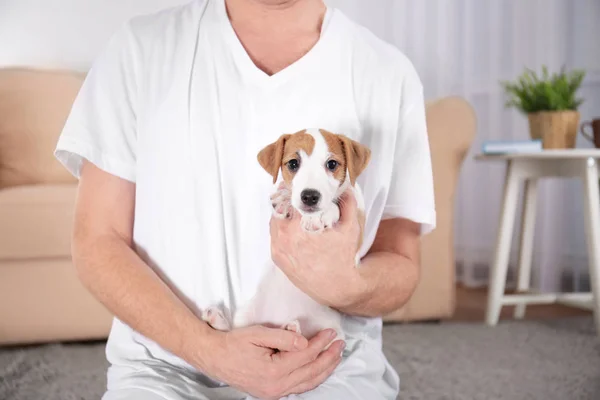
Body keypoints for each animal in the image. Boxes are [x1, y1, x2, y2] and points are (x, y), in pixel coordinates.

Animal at [202, 127, 370, 344]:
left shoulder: (358, 224)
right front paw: (284, 201)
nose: (309, 196)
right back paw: (219, 320)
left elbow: (335, 207)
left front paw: (323, 214)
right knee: (236, 330)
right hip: (246, 314)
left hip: (334, 336)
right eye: (293, 163)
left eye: (332, 164)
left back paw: (292, 329)